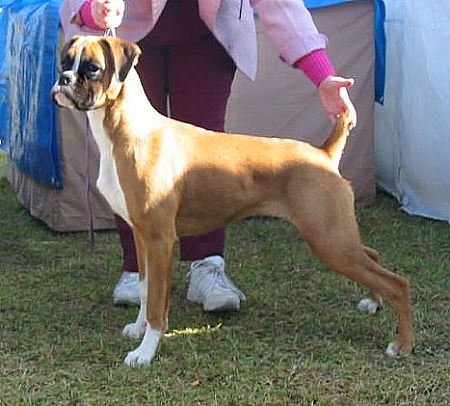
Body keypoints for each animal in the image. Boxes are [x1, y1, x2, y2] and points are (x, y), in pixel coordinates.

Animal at [51, 36, 414, 366]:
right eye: (64, 62)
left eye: (92, 68)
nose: (63, 80)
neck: (129, 132)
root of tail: (323, 153)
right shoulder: (142, 237)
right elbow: (144, 289)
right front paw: (138, 330)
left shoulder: (160, 240)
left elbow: (156, 304)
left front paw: (144, 353)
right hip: (336, 236)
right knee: (373, 255)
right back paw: (372, 302)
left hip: (329, 240)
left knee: (398, 282)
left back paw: (402, 344)